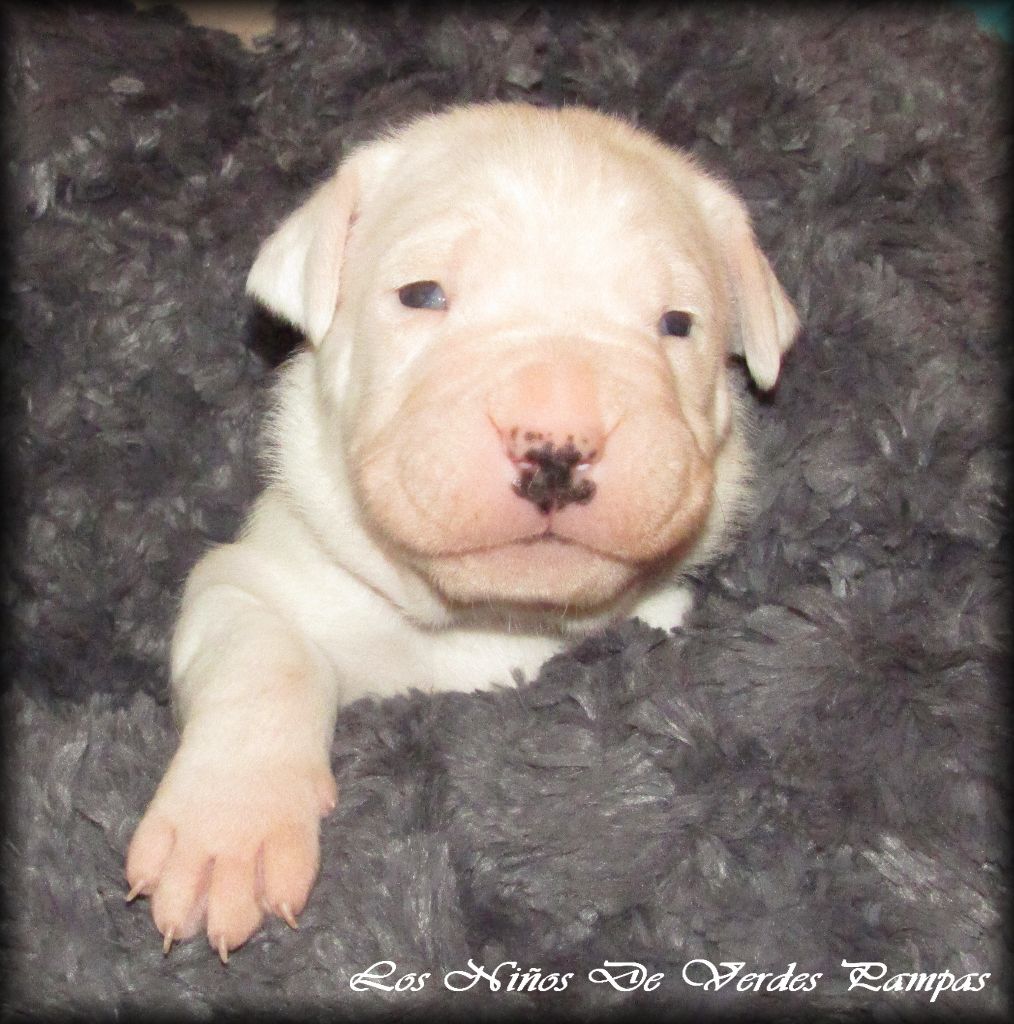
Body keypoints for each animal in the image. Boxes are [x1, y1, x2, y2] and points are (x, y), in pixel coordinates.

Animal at [125, 102, 799, 960]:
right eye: (422, 294)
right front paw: (227, 832)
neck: (490, 620)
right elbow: (263, 658)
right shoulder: (263, 576)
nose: (557, 445)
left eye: (678, 322)